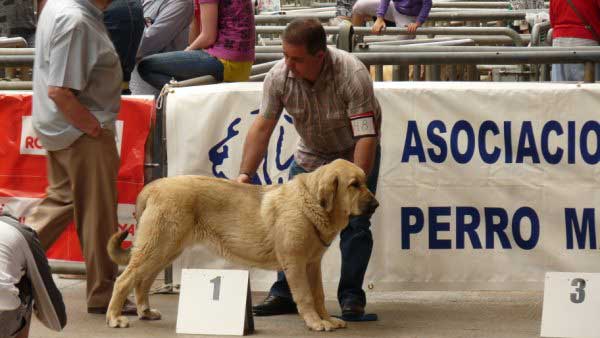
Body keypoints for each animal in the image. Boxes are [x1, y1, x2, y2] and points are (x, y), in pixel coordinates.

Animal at [106, 158, 380, 330]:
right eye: (354, 185)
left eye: (365, 182)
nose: (376, 205)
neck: (311, 204)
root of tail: (154, 186)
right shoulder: (296, 264)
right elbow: (305, 297)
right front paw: (315, 322)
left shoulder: (312, 265)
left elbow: (319, 295)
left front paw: (327, 319)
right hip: (157, 247)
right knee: (123, 280)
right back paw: (114, 317)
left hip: (165, 250)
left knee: (141, 282)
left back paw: (145, 311)